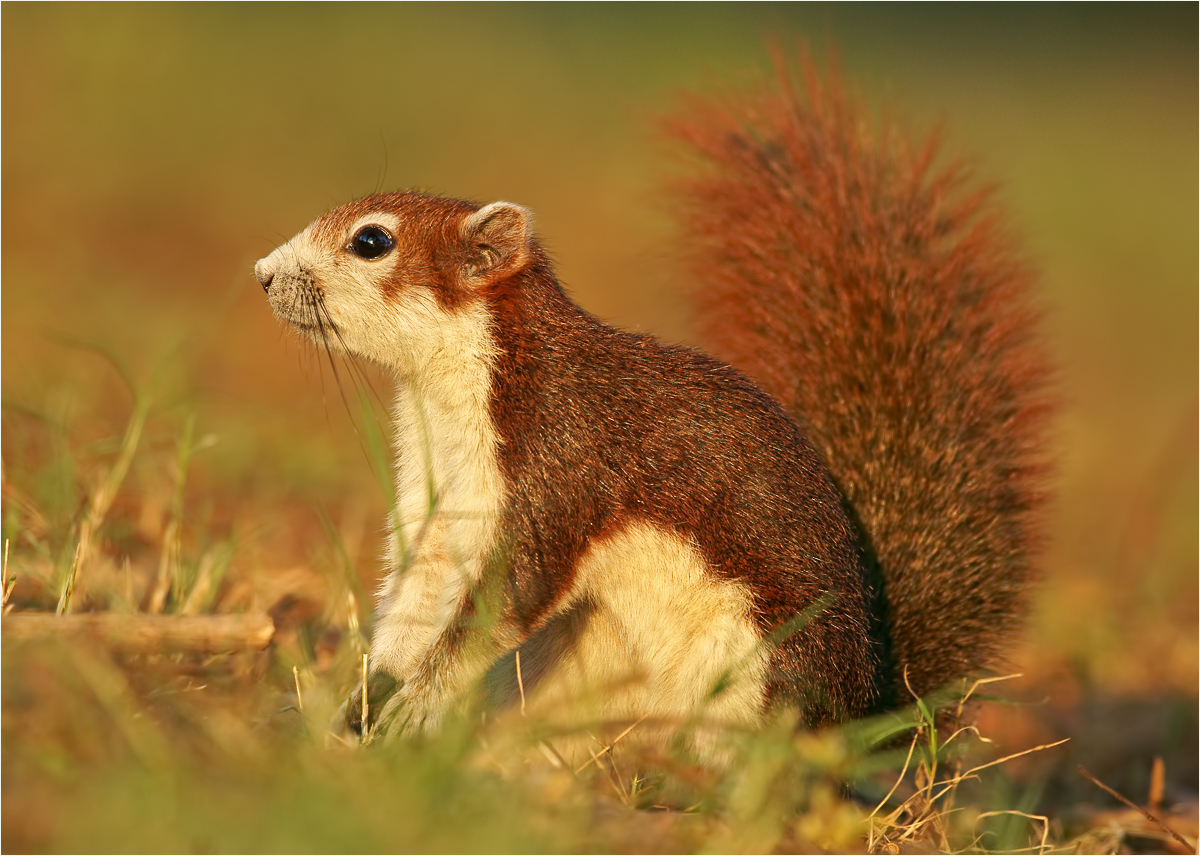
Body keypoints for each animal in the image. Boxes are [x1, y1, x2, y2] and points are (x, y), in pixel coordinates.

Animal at [253, 60, 1051, 744]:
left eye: (371, 240)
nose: (263, 271)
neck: (448, 412)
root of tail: (869, 713)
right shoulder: (439, 511)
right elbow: (412, 611)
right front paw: (361, 705)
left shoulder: (558, 466)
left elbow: (501, 603)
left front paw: (410, 710)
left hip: (755, 670)